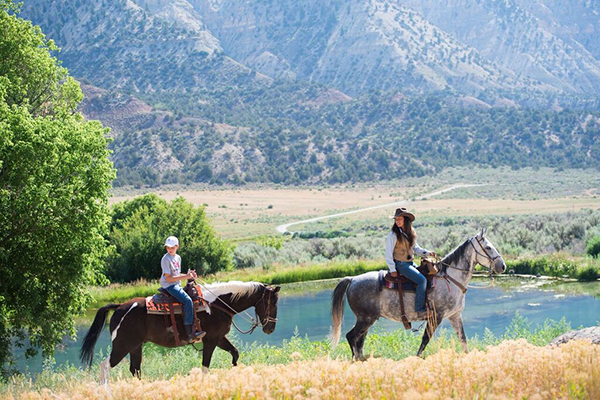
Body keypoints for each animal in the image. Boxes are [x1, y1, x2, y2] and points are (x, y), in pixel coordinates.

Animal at [79, 280, 282, 382]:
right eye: (273, 303)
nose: (271, 328)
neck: (218, 304)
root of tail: (120, 306)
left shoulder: (219, 338)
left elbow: (235, 353)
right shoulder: (210, 340)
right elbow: (205, 366)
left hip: (135, 347)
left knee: (135, 369)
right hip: (122, 346)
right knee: (105, 367)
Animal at [332, 228, 506, 360]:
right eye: (488, 247)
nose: (502, 266)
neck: (450, 278)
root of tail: (353, 279)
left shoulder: (455, 316)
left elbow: (463, 339)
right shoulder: (436, 316)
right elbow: (425, 339)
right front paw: (416, 358)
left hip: (366, 320)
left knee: (359, 341)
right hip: (365, 319)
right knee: (351, 337)